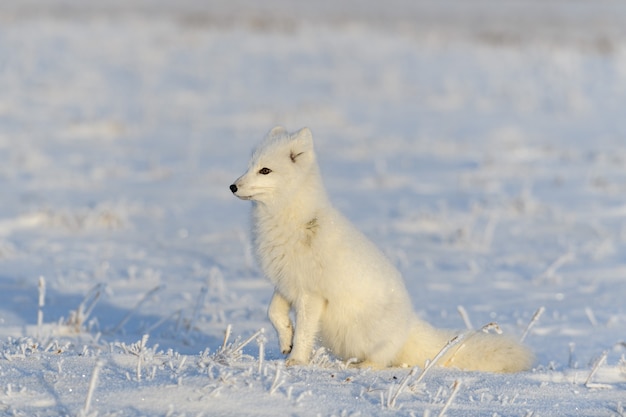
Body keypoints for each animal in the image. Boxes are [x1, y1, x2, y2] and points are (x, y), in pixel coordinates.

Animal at [229, 126, 532, 370]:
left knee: (382, 360)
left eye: (265, 170)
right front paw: (285, 341)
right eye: (249, 165)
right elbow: (274, 313)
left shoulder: (311, 294)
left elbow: (304, 332)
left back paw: (361, 367)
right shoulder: (286, 283)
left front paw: (296, 361)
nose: (232, 186)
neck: (292, 220)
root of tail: (409, 324)